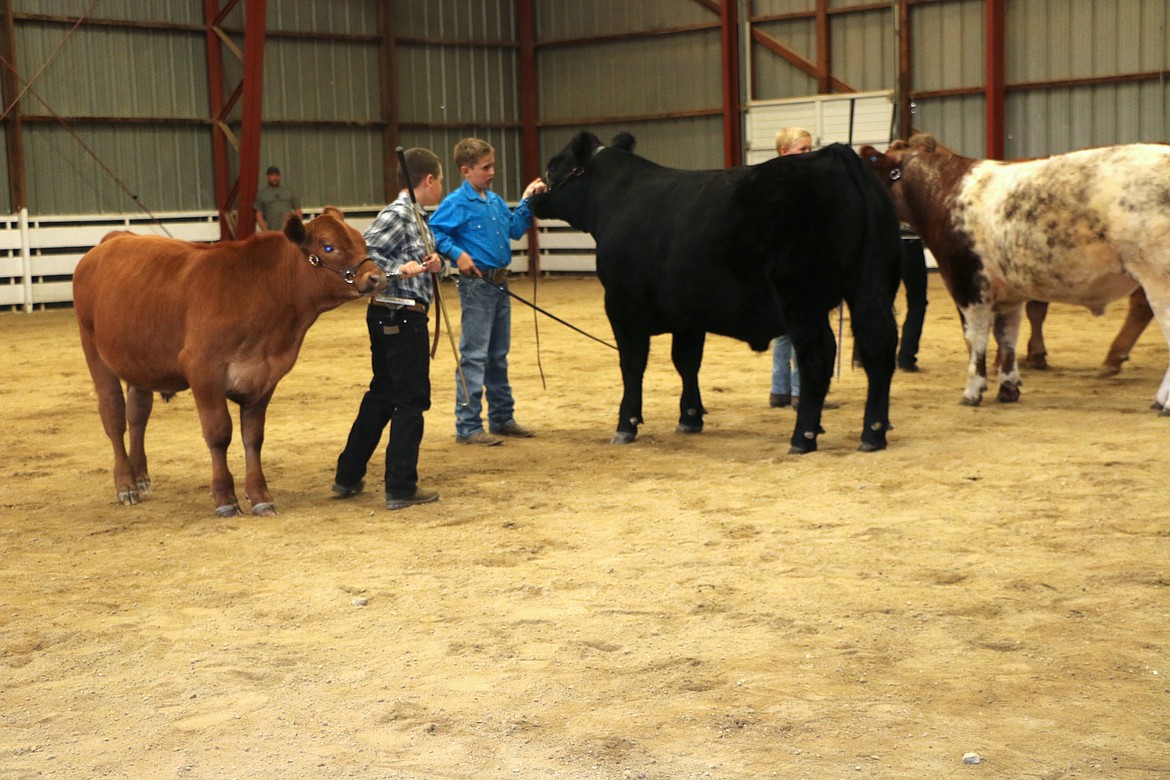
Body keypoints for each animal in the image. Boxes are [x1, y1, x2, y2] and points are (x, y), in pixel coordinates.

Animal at [75, 205, 386, 519]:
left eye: (362, 241)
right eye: (328, 247)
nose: (377, 277)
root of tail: (116, 237)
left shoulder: (265, 376)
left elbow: (253, 438)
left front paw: (260, 496)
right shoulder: (203, 370)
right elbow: (219, 433)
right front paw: (225, 498)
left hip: (140, 362)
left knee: (138, 414)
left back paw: (140, 477)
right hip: (94, 351)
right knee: (114, 415)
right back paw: (126, 484)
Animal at [861, 136, 1170, 411]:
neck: (945, 192)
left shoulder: (967, 282)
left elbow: (976, 337)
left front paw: (973, 390)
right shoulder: (1008, 293)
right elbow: (1006, 336)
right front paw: (1008, 387)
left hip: (1158, 281)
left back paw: (1160, 401)